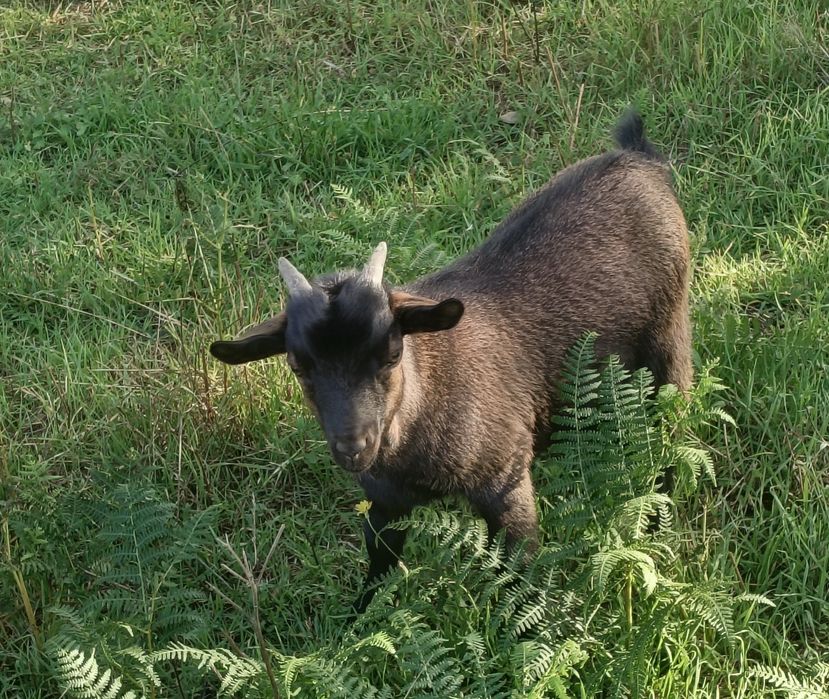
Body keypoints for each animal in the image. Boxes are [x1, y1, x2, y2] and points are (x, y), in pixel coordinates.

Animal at [209, 110, 692, 611]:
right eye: (298, 366)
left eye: (392, 353)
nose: (353, 448)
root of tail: (638, 158)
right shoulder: (384, 501)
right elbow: (379, 563)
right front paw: (359, 620)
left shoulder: (504, 482)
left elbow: (519, 573)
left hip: (669, 342)